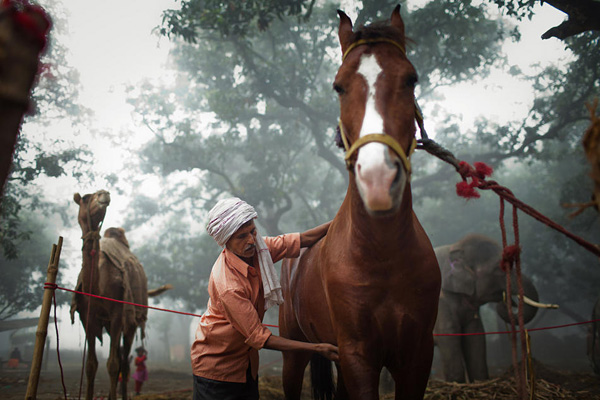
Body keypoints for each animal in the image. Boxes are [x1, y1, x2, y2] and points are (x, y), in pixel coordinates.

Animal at [72, 191, 172, 400]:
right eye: (85, 198)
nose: (104, 194)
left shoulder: (118, 313)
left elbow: (113, 364)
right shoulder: (87, 316)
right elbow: (91, 365)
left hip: (130, 321)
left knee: (124, 362)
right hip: (110, 325)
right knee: (119, 357)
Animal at [280, 7, 440, 400]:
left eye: (411, 80)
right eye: (339, 86)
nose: (378, 180)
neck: (381, 254)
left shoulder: (417, 355)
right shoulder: (357, 355)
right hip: (294, 352)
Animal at [432, 233, 544, 382]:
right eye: (498, 268)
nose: (506, 301)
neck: (453, 248)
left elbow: (475, 335)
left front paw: (480, 381)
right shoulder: (442, 302)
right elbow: (448, 334)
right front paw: (456, 383)